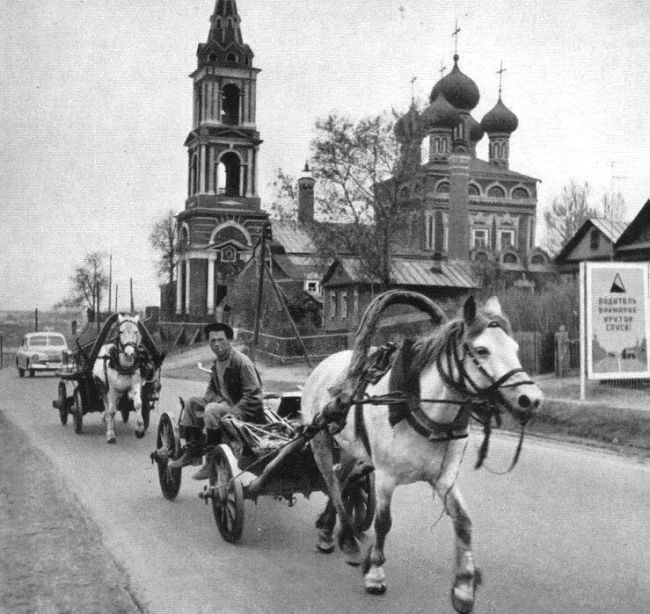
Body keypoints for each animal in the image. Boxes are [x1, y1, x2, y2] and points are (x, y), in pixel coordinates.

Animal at [300, 296, 540, 612]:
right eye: (481, 350)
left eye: (515, 348)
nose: (531, 400)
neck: (418, 408)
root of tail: (324, 364)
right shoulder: (386, 478)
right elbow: (383, 523)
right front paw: (375, 573)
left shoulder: (444, 478)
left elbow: (464, 522)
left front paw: (464, 586)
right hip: (321, 441)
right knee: (332, 483)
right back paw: (347, 539)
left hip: (353, 450)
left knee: (342, 481)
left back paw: (333, 534)